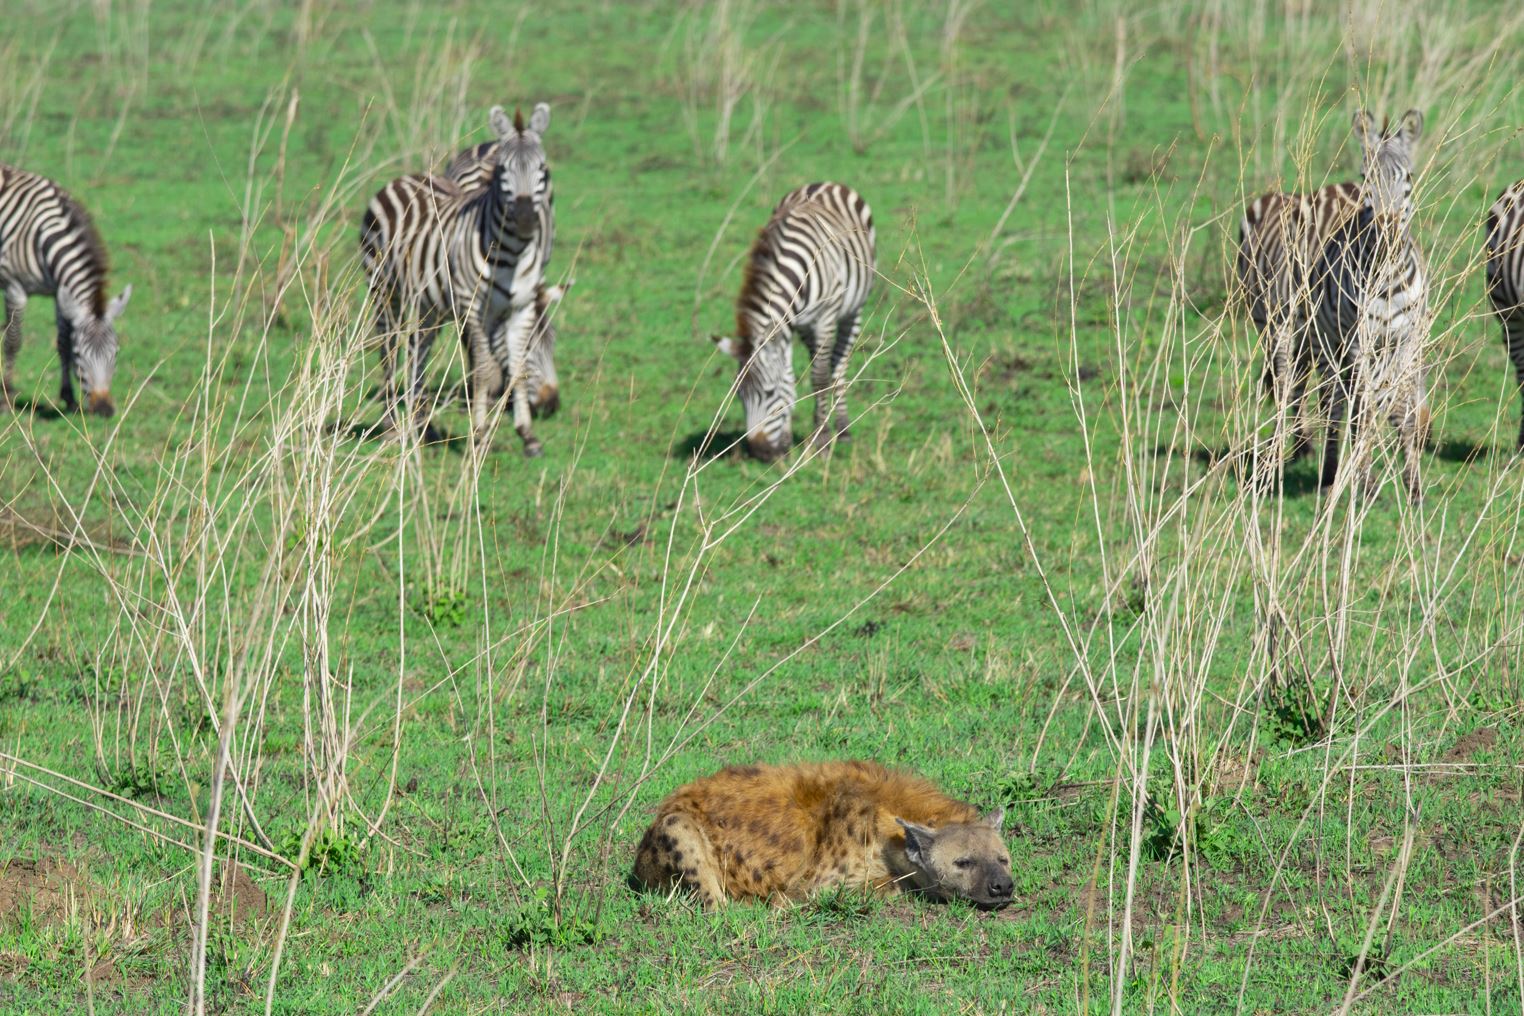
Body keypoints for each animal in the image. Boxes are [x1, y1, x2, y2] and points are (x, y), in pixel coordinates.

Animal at [0, 163, 132, 417]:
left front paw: (69, 399)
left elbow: (63, 342)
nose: (104, 410)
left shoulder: (60, 293)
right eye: (80, 356)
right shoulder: (14, 288)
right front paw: (7, 397)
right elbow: (13, 340)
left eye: (116, 353)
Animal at [712, 182, 875, 462]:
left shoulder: (823, 318)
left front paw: (822, 440)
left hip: (853, 308)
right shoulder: (790, 325)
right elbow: (788, 379)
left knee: (839, 363)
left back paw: (842, 430)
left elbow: (819, 378)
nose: (760, 452)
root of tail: (824, 183)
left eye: (767, 394)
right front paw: (787, 442)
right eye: (739, 396)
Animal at [1311, 109, 1428, 501]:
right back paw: (1333, 473)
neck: (1388, 277)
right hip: (1331, 345)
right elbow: (1361, 411)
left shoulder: (1407, 340)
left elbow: (1403, 409)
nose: (1386, 229)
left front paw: (1414, 484)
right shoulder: (1359, 341)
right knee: (1335, 406)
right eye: (1365, 179)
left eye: (1407, 177)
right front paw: (1365, 481)